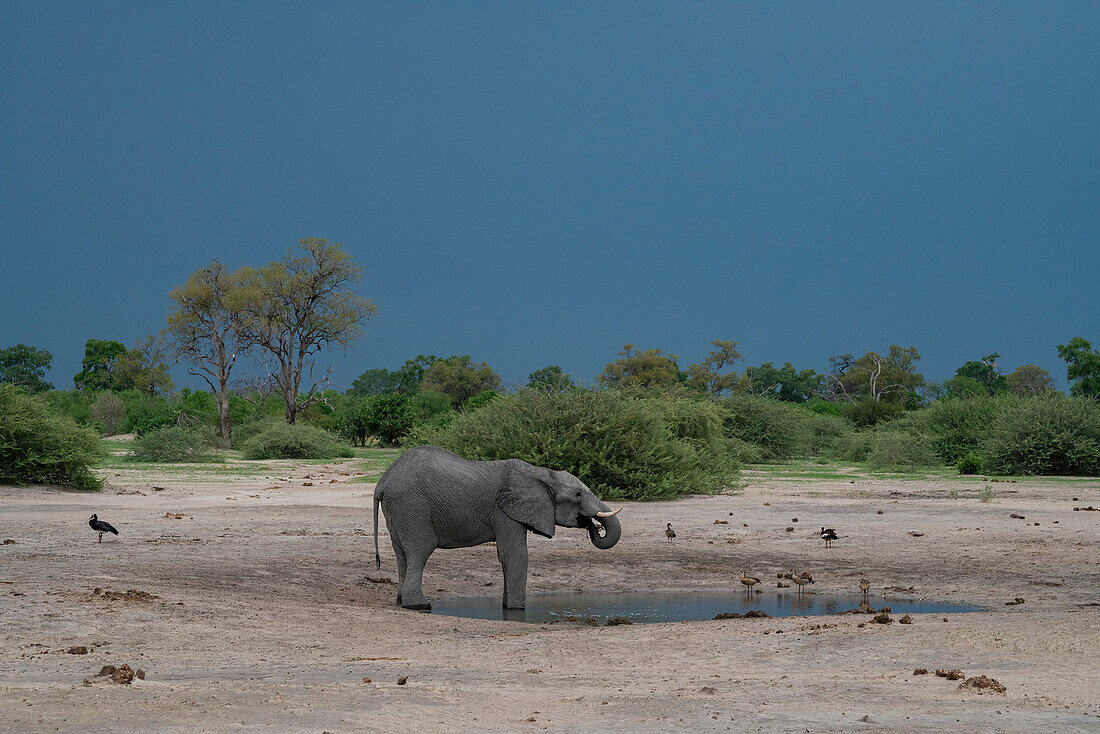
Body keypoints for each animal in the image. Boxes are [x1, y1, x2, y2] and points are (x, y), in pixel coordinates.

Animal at [374, 444, 624, 611]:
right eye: (578, 494)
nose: (593, 526)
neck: (541, 473)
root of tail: (384, 480)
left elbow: (507, 557)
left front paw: (507, 606)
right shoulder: (504, 512)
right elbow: (514, 555)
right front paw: (516, 609)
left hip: (398, 512)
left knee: (402, 555)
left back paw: (401, 601)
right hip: (412, 507)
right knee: (420, 552)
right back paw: (419, 605)